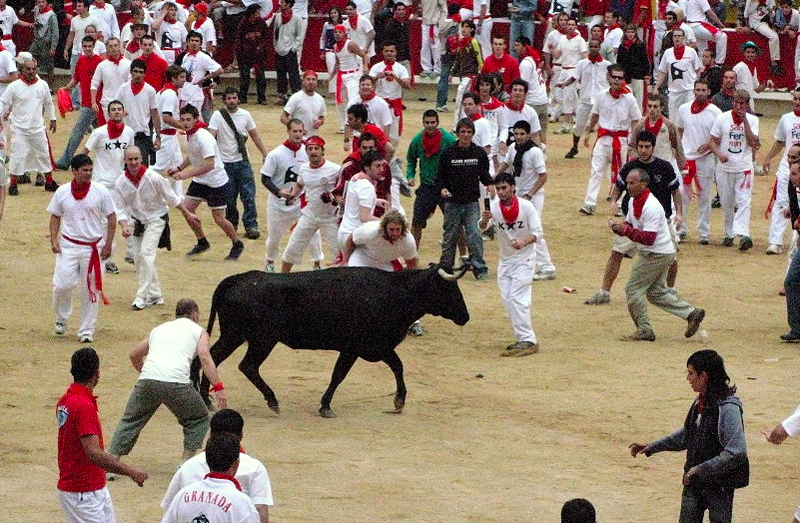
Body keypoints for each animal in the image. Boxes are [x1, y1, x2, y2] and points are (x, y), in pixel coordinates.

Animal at [192, 266, 468, 418]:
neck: (394, 292)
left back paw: (206, 400)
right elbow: (340, 375)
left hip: (236, 335)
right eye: (449, 289)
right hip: (261, 339)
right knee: (246, 366)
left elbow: (397, 366)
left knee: (210, 359)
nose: (465, 316)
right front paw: (326, 406)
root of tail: (234, 280)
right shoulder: (356, 347)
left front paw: (399, 402)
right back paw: (272, 401)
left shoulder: (376, 347)